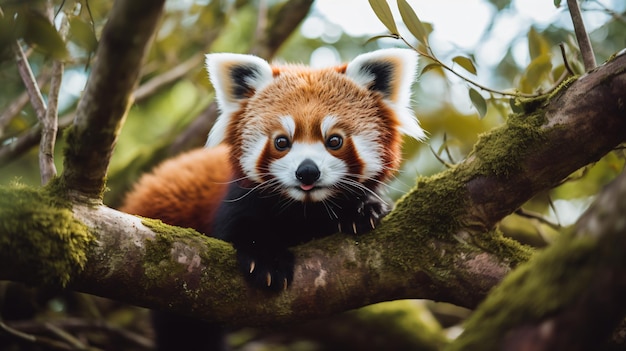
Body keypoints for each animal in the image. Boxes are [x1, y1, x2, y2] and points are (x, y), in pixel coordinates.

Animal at [120, 48, 424, 292]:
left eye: (334, 140)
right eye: (281, 142)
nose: (307, 172)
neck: (305, 210)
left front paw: (362, 209)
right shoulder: (236, 202)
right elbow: (240, 226)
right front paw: (267, 260)